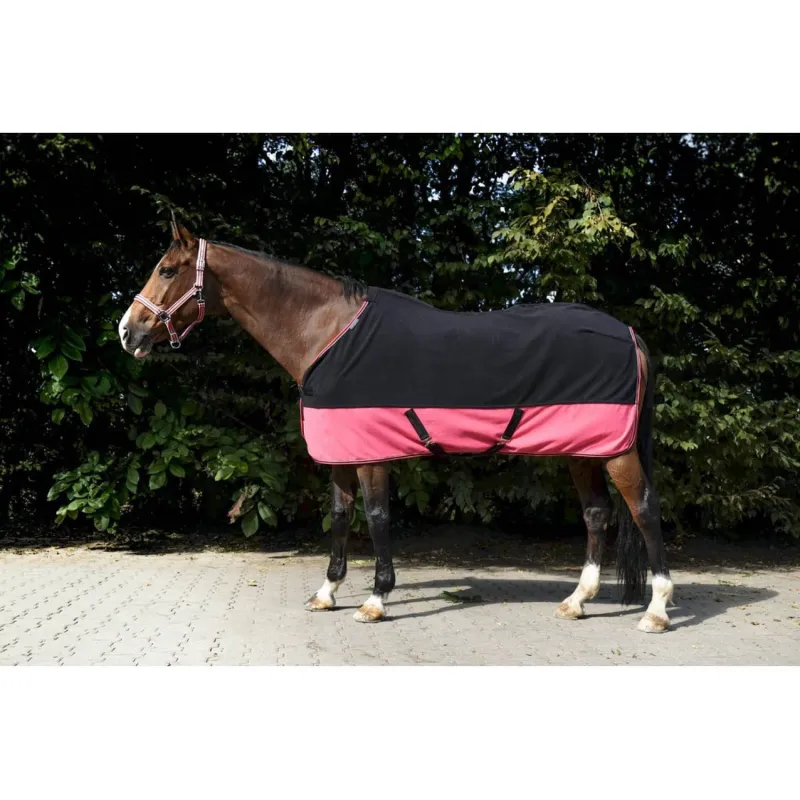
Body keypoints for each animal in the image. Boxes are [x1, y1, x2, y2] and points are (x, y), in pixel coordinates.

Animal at [119, 217, 674, 633]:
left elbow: (377, 517)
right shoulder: (340, 456)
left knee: (644, 508)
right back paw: (576, 600)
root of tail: (628, 333)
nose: (128, 332)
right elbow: (341, 517)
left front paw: (376, 599)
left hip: (617, 451)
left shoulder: (372, 454)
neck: (327, 334)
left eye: (167, 270)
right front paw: (328, 591)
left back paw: (656, 609)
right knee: (597, 514)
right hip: (584, 450)